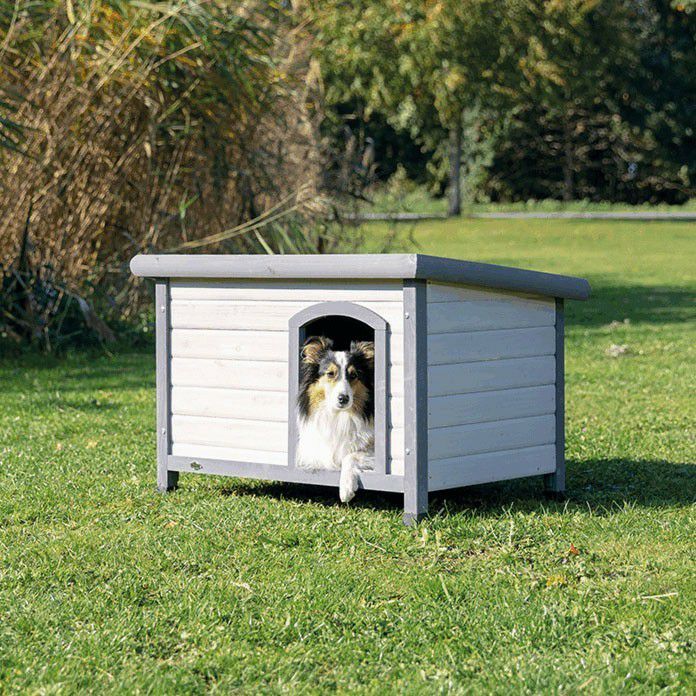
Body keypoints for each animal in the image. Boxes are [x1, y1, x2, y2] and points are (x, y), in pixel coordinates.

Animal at [295, 335, 375, 503]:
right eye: (330, 374)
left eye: (354, 375)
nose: (343, 398)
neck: (339, 415)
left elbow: (350, 456)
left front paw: (346, 489)